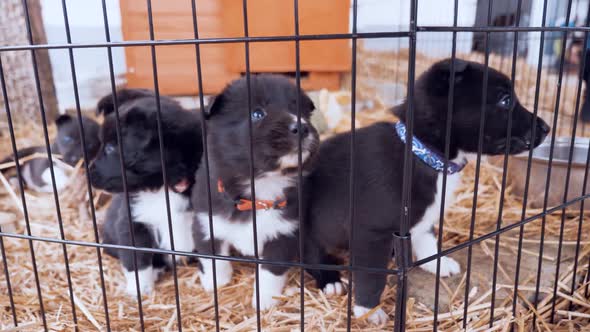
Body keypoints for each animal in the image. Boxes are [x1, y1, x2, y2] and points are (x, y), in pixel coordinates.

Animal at [90, 91, 204, 296]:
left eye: (110, 148)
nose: (89, 173)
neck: (162, 187)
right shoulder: (132, 222)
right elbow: (137, 260)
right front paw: (139, 288)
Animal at [193, 75, 322, 312]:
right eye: (257, 113)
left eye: (298, 110)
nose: (301, 126)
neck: (260, 186)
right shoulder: (207, 221)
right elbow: (212, 256)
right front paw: (216, 284)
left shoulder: (285, 233)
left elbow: (270, 272)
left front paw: (264, 301)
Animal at [306, 58, 556, 322]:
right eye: (505, 100)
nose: (547, 128)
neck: (424, 154)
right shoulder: (370, 232)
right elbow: (371, 277)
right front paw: (369, 310)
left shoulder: (424, 215)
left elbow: (427, 238)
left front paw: (438, 264)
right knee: (311, 255)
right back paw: (331, 280)